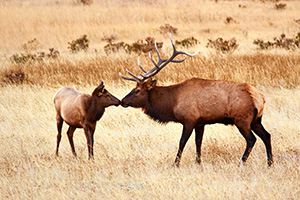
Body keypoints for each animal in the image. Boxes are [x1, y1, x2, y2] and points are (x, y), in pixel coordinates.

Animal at [119, 34, 272, 167]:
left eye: (137, 90)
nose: (122, 101)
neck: (172, 103)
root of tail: (260, 98)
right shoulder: (200, 122)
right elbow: (199, 142)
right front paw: (198, 162)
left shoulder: (189, 119)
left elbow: (182, 142)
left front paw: (175, 164)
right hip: (256, 120)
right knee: (267, 135)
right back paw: (270, 163)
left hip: (242, 119)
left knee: (252, 139)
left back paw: (241, 163)